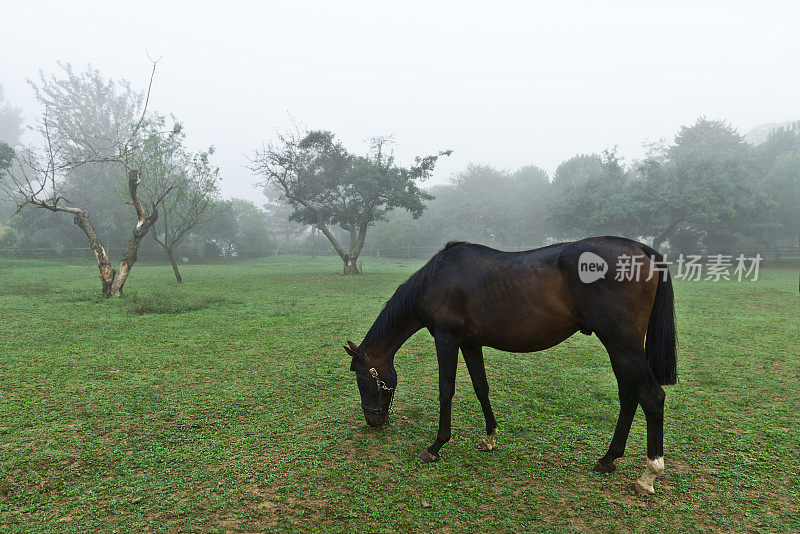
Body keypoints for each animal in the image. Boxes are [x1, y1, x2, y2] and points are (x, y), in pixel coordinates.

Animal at [344, 237, 676, 496]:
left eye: (361, 379)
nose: (373, 421)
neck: (438, 278)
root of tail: (640, 249)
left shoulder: (447, 338)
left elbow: (446, 390)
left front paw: (436, 446)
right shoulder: (470, 343)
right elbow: (481, 387)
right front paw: (490, 437)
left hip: (621, 344)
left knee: (651, 396)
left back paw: (648, 474)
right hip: (618, 346)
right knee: (629, 395)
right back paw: (608, 459)